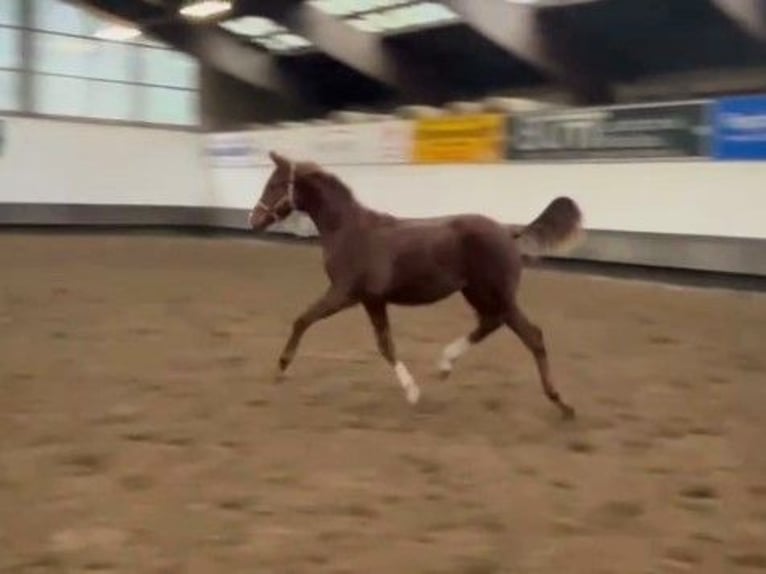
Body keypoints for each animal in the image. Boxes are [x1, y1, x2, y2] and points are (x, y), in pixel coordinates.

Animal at [249, 151, 584, 420]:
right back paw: (445, 365)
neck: (349, 231)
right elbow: (384, 344)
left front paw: (281, 367)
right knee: (492, 324)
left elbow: (304, 320)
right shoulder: (371, 300)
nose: (254, 220)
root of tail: (508, 231)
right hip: (477, 294)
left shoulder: (347, 294)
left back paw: (562, 403)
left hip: (496, 295)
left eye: (275, 185)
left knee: (532, 335)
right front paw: (413, 391)